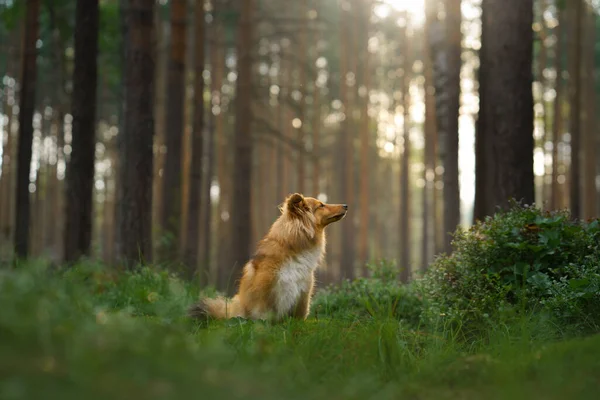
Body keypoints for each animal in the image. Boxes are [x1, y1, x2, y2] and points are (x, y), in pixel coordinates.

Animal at [188, 194, 346, 322]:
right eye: (321, 205)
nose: (346, 205)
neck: (292, 248)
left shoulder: (303, 294)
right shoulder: (265, 294)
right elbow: (263, 316)